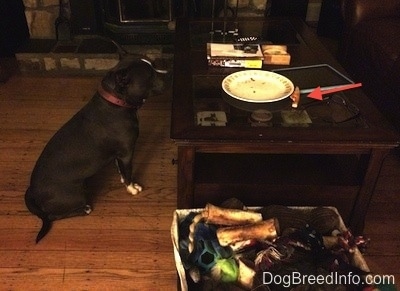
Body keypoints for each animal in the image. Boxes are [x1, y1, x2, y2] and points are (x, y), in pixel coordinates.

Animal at [25, 57, 166, 244]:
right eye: (150, 76)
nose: (168, 73)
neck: (115, 102)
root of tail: (32, 191)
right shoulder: (127, 153)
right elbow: (128, 172)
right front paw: (132, 188)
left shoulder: (119, 155)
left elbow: (120, 169)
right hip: (76, 194)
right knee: (52, 216)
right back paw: (84, 209)